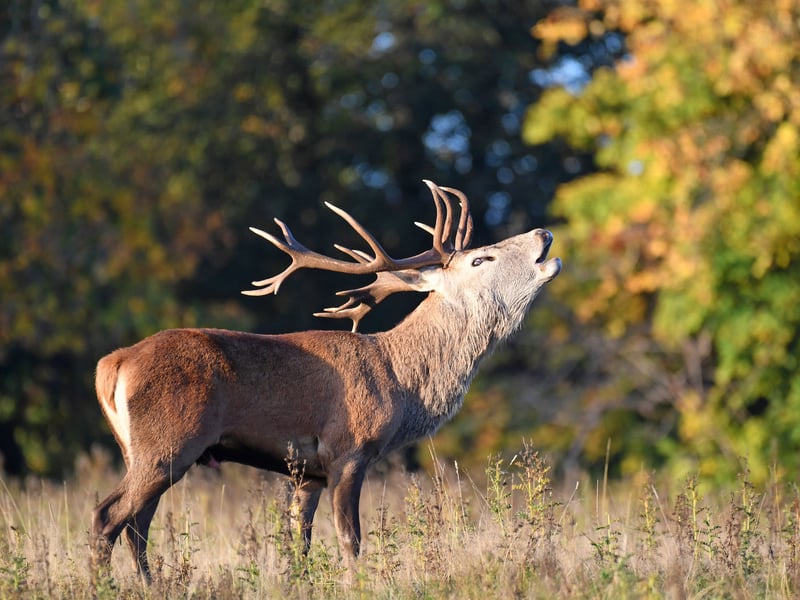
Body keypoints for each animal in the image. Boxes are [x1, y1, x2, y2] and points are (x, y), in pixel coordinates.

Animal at [90, 180, 561, 582]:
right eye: (481, 259)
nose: (544, 233)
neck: (398, 379)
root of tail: (113, 364)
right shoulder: (347, 450)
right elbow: (351, 542)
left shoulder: (307, 473)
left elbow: (299, 544)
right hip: (169, 441)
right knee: (107, 517)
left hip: (141, 450)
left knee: (137, 525)